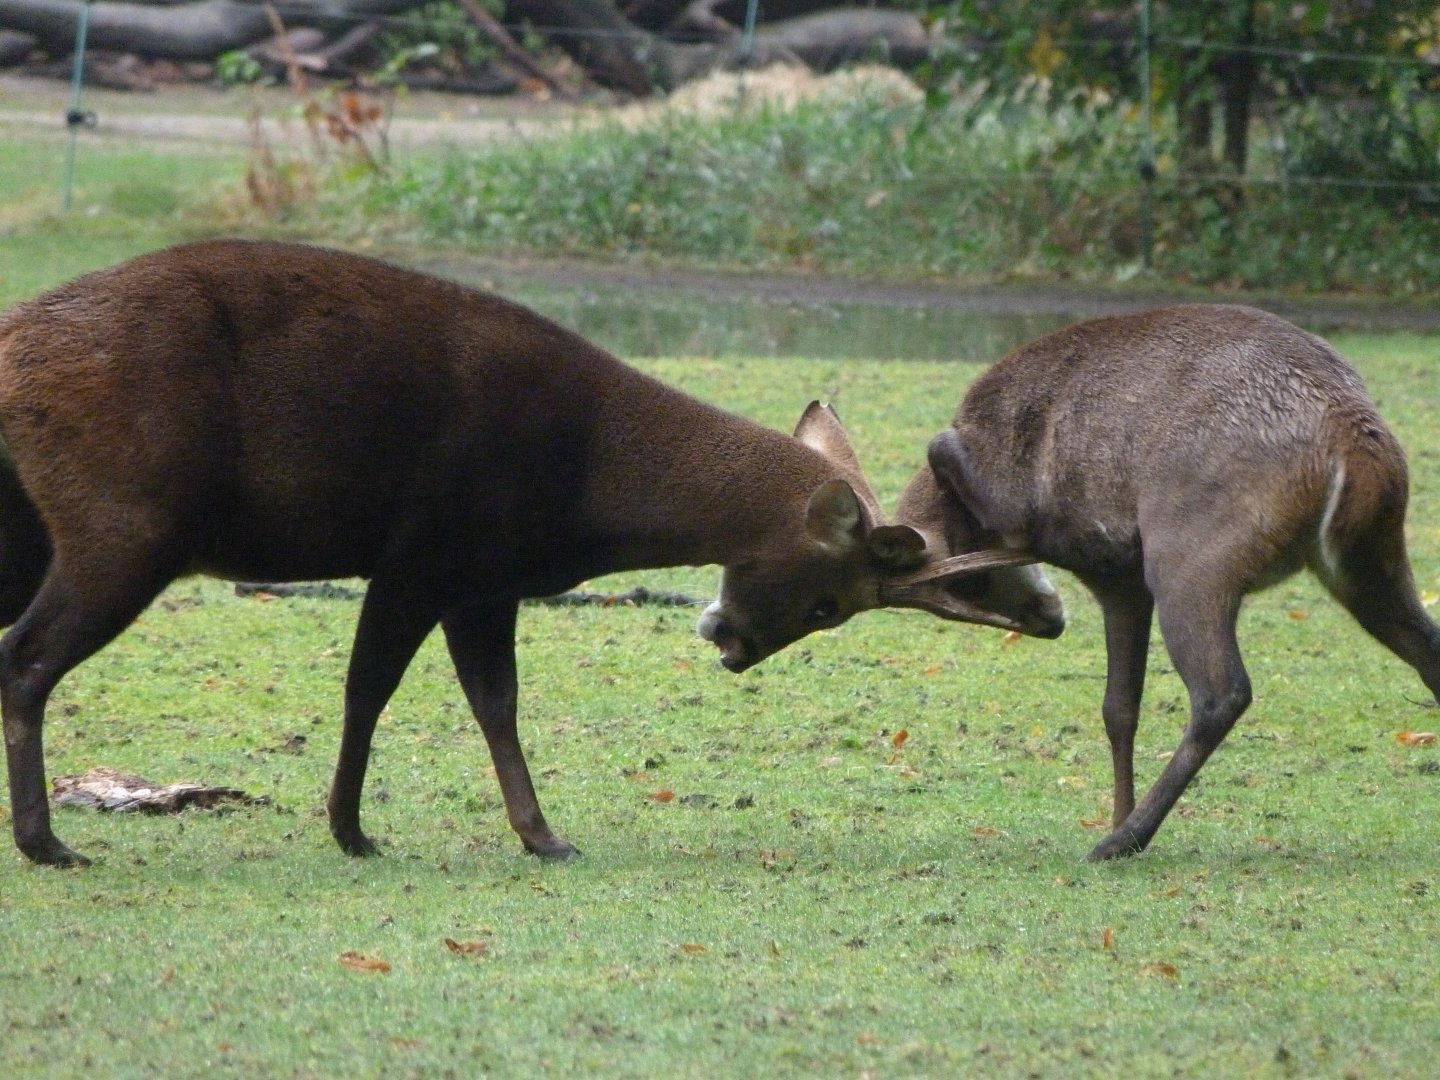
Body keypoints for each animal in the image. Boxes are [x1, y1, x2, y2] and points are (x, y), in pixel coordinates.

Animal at [0, 238, 1041, 869]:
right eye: (829, 603)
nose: (733, 646)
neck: (585, 491)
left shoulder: (481, 578)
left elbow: (494, 703)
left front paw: (542, 836)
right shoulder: (427, 550)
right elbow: (369, 689)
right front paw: (351, 830)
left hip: (43, 524)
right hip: (124, 519)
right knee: (25, 658)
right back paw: (48, 843)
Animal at [894, 304, 1440, 861]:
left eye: (968, 583)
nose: (1050, 619)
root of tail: (1354, 437)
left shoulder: (1084, 550)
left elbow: (943, 447)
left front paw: (1118, 823)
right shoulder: (1124, 583)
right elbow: (1119, 707)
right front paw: (1115, 811)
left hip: (1190, 560)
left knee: (1222, 692)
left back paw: (1124, 840)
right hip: (1367, 560)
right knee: (1429, 652)